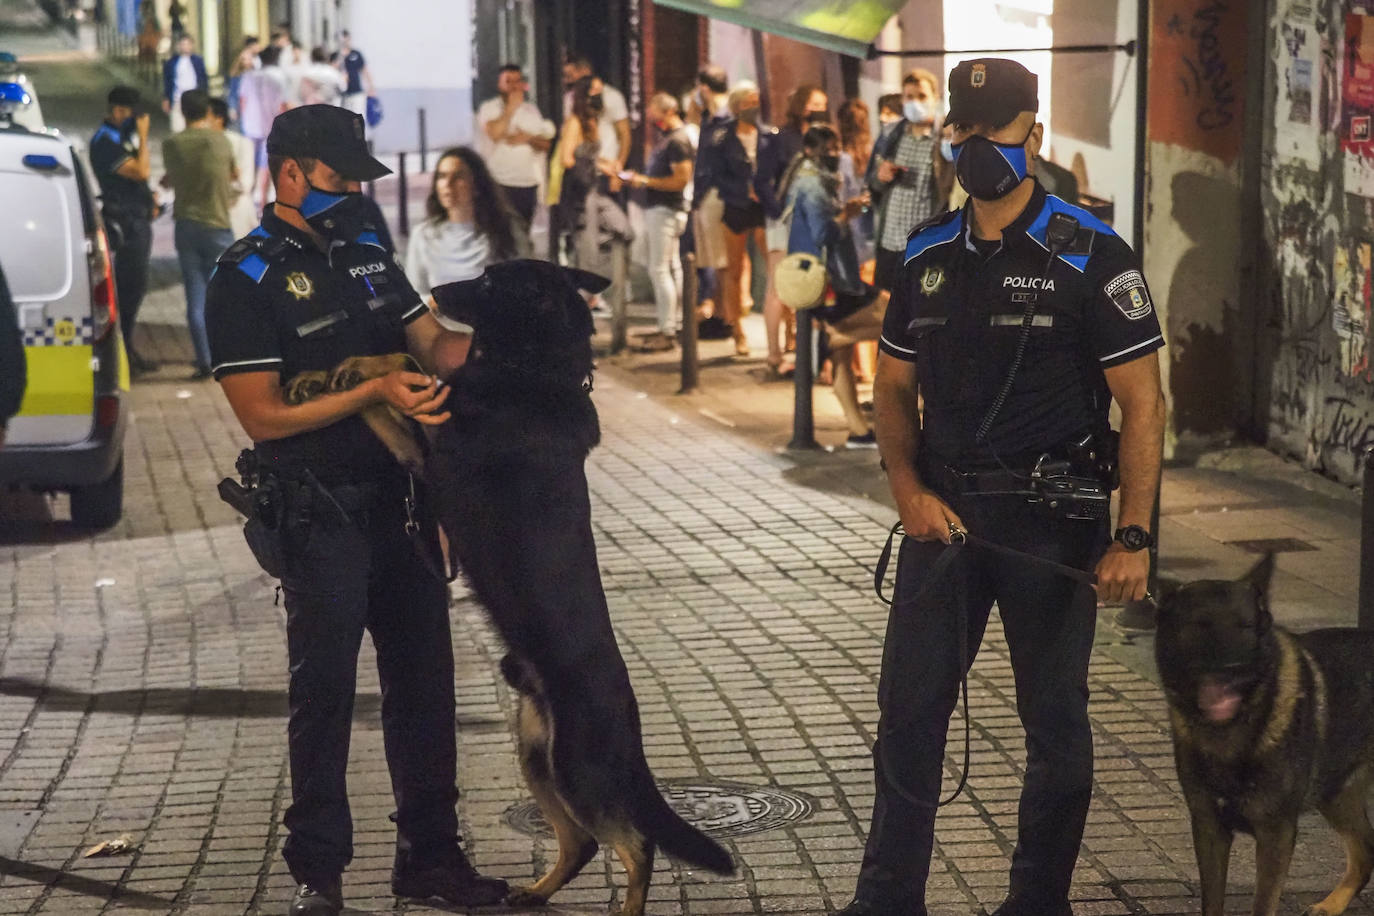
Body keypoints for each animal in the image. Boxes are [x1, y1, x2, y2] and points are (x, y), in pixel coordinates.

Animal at [294, 260, 736, 911]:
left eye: (487, 283)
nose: (430, 291)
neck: (531, 368)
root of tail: (629, 712)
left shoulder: (426, 452)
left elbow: (392, 389)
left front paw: (344, 376)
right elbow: (401, 367)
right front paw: (328, 373)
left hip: (577, 770)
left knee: (636, 844)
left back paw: (626, 903)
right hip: (537, 760)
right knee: (582, 843)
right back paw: (532, 891)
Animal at [1154, 552, 1374, 916]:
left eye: (1244, 626)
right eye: (1201, 625)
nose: (1231, 669)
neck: (1232, 731)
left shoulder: (1276, 835)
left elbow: (1262, 904)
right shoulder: (1209, 829)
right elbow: (1212, 902)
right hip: (1336, 796)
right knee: (1365, 853)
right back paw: (1331, 905)